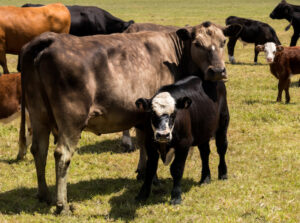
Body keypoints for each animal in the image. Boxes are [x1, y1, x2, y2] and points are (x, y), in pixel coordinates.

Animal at [135, 76, 229, 205]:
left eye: (174, 114)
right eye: (152, 114)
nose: (163, 135)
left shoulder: (183, 144)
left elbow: (177, 169)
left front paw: (176, 196)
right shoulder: (150, 144)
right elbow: (150, 169)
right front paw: (142, 195)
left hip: (223, 124)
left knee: (221, 148)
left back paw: (223, 174)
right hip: (202, 133)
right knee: (205, 153)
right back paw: (205, 178)